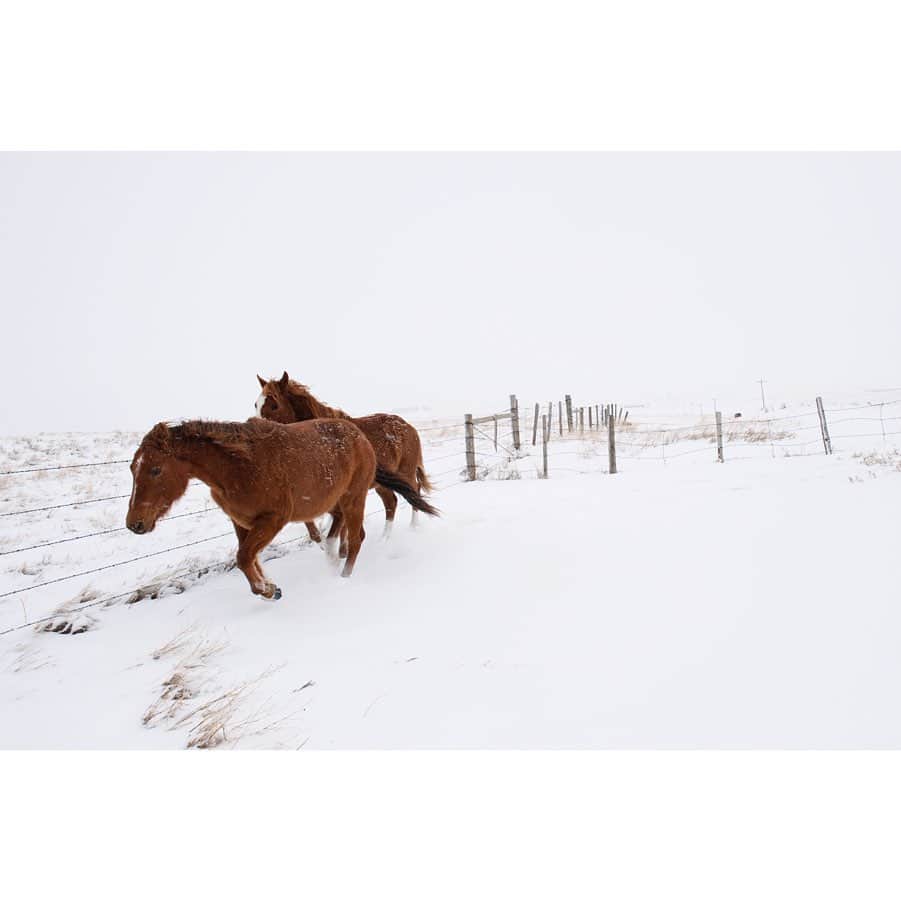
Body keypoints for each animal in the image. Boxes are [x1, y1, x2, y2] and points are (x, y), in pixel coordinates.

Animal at [125, 417, 437, 599]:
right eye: (132, 469)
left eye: (155, 470)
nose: (135, 524)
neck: (238, 467)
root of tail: (360, 435)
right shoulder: (240, 521)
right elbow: (247, 558)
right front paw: (270, 588)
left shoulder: (273, 519)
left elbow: (243, 557)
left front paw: (266, 590)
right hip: (336, 499)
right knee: (340, 533)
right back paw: (332, 561)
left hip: (354, 497)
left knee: (357, 537)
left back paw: (342, 579)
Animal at [254, 373, 433, 539]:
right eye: (256, 404)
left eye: (275, 405)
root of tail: (408, 426)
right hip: (382, 483)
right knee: (391, 503)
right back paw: (384, 539)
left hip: (405, 472)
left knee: (414, 492)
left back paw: (413, 527)